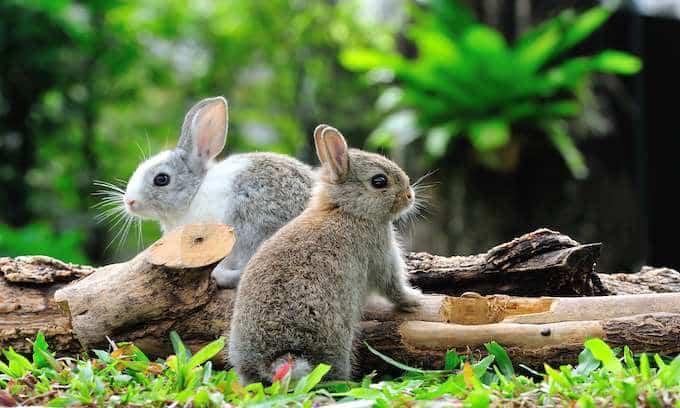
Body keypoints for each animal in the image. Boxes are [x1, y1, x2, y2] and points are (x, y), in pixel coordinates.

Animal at [230, 125, 420, 386]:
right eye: (379, 181)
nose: (409, 196)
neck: (346, 209)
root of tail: (276, 358)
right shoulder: (380, 253)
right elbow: (392, 287)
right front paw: (415, 300)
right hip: (336, 342)